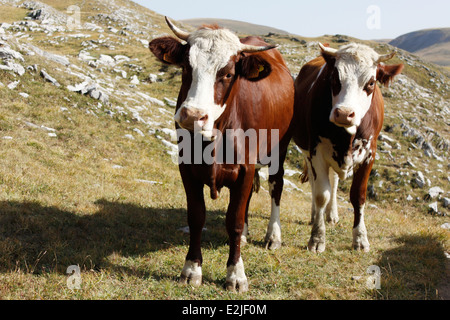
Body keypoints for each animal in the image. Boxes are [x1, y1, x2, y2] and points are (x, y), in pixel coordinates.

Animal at [149, 17, 296, 292]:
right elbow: (197, 216)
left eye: (227, 73)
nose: (192, 116)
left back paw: (273, 236)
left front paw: (236, 274)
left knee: (276, 186)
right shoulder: (187, 167)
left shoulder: (246, 168)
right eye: (186, 67)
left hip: (280, 148)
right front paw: (191, 269)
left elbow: (234, 222)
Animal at [292, 42, 404, 252]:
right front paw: (317, 238)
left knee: (334, 182)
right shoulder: (316, 152)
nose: (344, 113)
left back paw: (331, 215)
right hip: (308, 153)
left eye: (371, 83)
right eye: (334, 78)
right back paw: (315, 215)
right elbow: (321, 194)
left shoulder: (369, 155)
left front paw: (360, 238)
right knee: (316, 183)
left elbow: (358, 196)